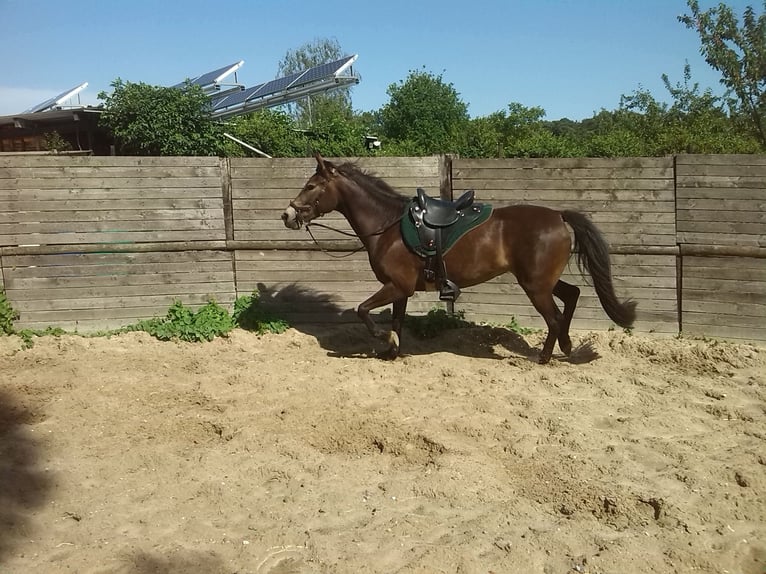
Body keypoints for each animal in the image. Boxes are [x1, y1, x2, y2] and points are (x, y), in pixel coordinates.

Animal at [282, 154, 636, 364]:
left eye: (311, 186)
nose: (287, 215)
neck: (389, 226)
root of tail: (558, 216)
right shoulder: (400, 290)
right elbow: (395, 320)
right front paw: (392, 351)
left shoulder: (395, 286)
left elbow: (363, 311)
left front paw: (384, 340)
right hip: (541, 281)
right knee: (572, 296)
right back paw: (565, 346)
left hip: (535, 286)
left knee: (553, 319)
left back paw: (546, 357)